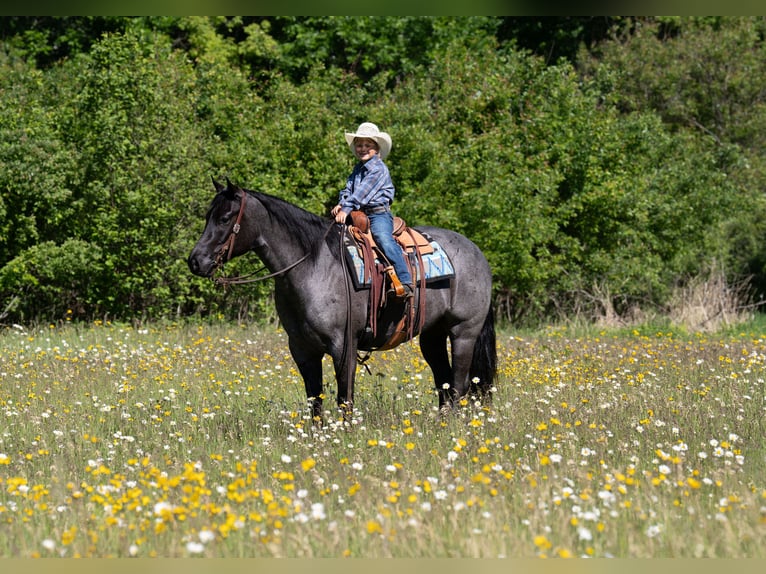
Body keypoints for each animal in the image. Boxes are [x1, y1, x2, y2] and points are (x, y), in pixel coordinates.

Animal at [188, 178, 497, 422]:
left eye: (225, 218)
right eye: (207, 216)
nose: (196, 261)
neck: (313, 266)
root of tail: (477, 252)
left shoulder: (343, 345)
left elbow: (344, 398)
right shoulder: (302, 349)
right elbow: (315, 400)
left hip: (463, 332)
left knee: (459, 384)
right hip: (432, 336)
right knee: (444, 382)